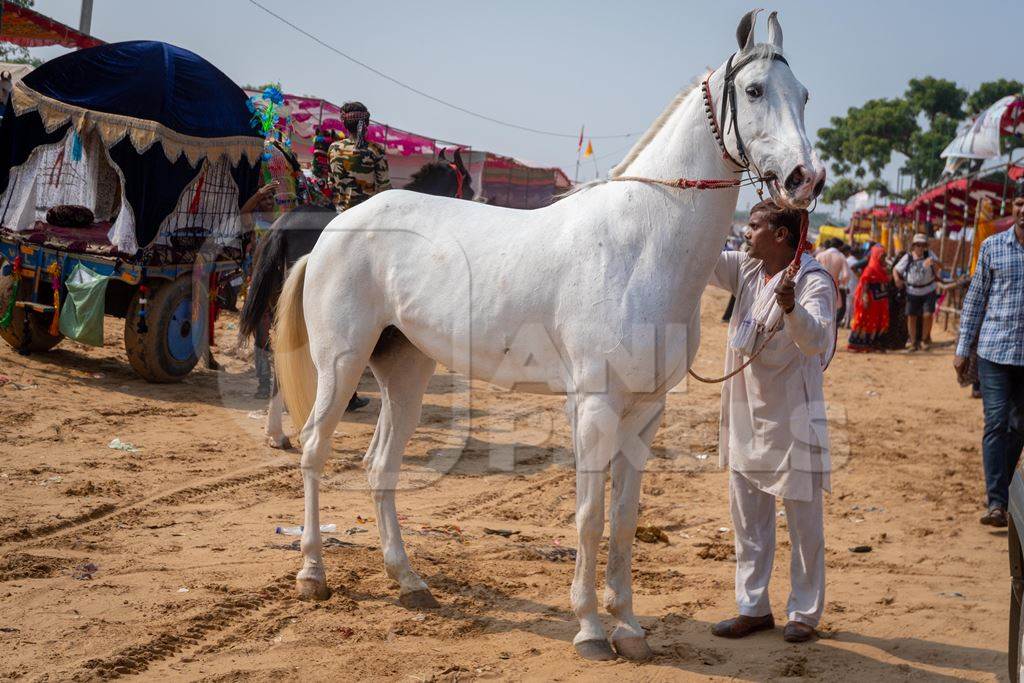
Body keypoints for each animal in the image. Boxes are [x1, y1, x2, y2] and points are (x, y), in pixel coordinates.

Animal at [272, 9, 823, 663]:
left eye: (805, 95)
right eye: (756, 90)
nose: (806, 179)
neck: (642, 245)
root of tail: (335, 228)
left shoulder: (646, 412)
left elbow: (624, 517)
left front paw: (629, 627)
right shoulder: (595, 406)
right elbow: (588, 516)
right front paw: (589, 629)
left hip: (405, 371)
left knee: (380, 466)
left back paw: (408, 581)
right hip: (341, 363)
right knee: (314, 450)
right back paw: (313, 574)